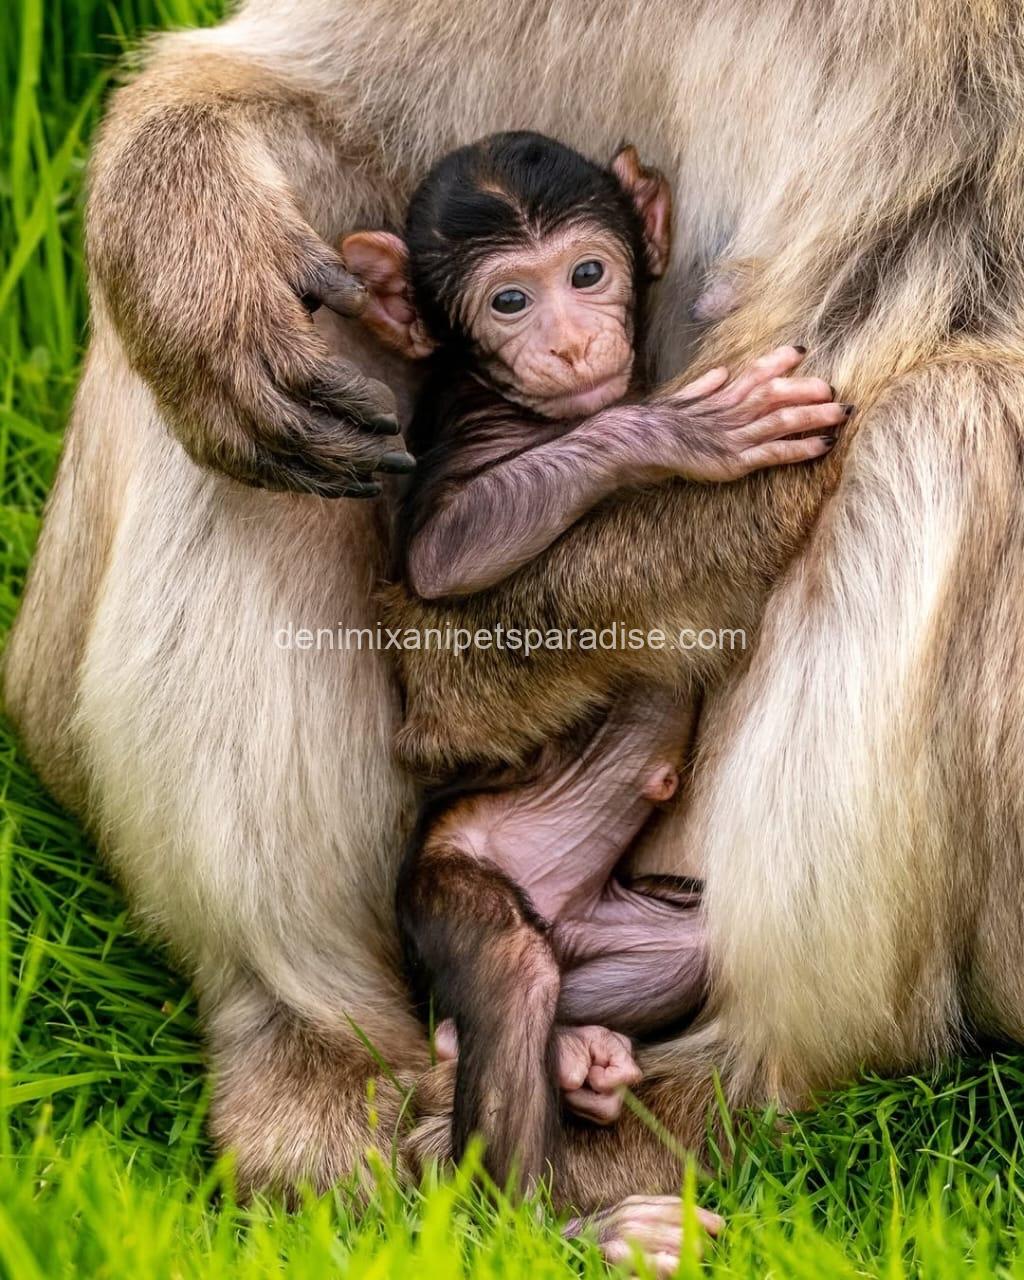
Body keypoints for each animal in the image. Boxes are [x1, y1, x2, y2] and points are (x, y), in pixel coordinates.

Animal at [339, 131, 846, 1187]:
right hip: (450, 873)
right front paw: (682, 432)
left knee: (681, 954)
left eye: (586, 274)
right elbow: (447, 556)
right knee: (508, 970)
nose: (571, 343)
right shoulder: (465, 430)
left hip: (607, 929)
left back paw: (568, 1052)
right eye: (509, 301)